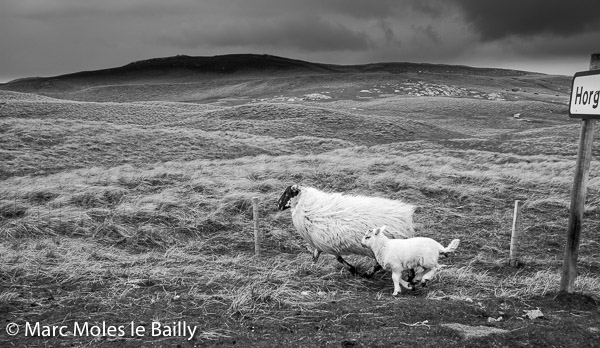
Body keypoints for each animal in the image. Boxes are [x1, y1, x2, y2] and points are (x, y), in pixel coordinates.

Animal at [278, 185, 414, 278]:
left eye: (287, 193)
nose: (278, 205)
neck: (305, 206)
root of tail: (405, 217)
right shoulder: (321, 244)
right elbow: (315, 257)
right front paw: (310, 268)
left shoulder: (327, 244)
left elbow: (338, 259)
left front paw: (353, 270)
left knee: (381, 264)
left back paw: (369, 274)